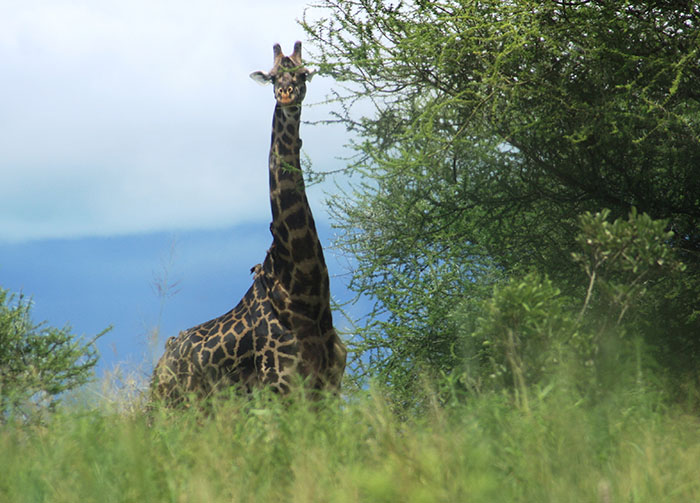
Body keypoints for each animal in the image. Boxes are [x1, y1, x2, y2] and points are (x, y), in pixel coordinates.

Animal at [153, 41, 350, 408]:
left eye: (303, 74)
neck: (305, 292)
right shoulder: (281, 388)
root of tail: (159, 366)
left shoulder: (328, 388)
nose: (286, 94)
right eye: (272, 76)